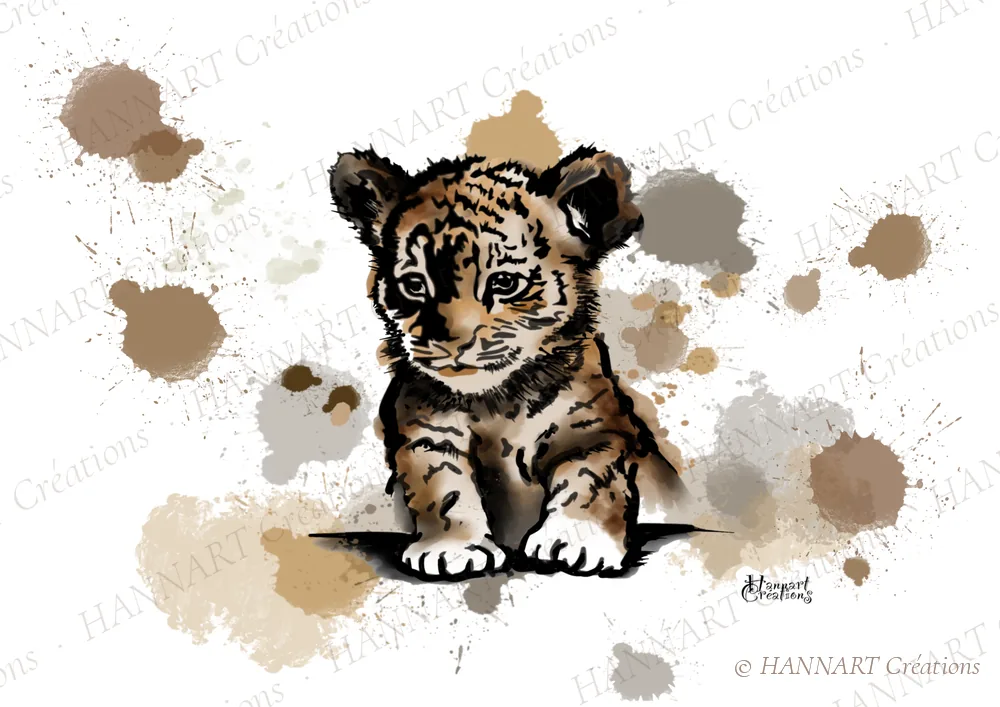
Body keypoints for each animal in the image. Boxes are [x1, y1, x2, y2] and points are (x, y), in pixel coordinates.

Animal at [328, 145, 692, 579]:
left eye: (504, 283)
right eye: (414, 285)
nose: (450, 342)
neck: (497, 402)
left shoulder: (599, 432)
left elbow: (587, 480)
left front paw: (577, 540)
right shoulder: (426, 435)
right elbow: (444, 487)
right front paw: (452, 548)